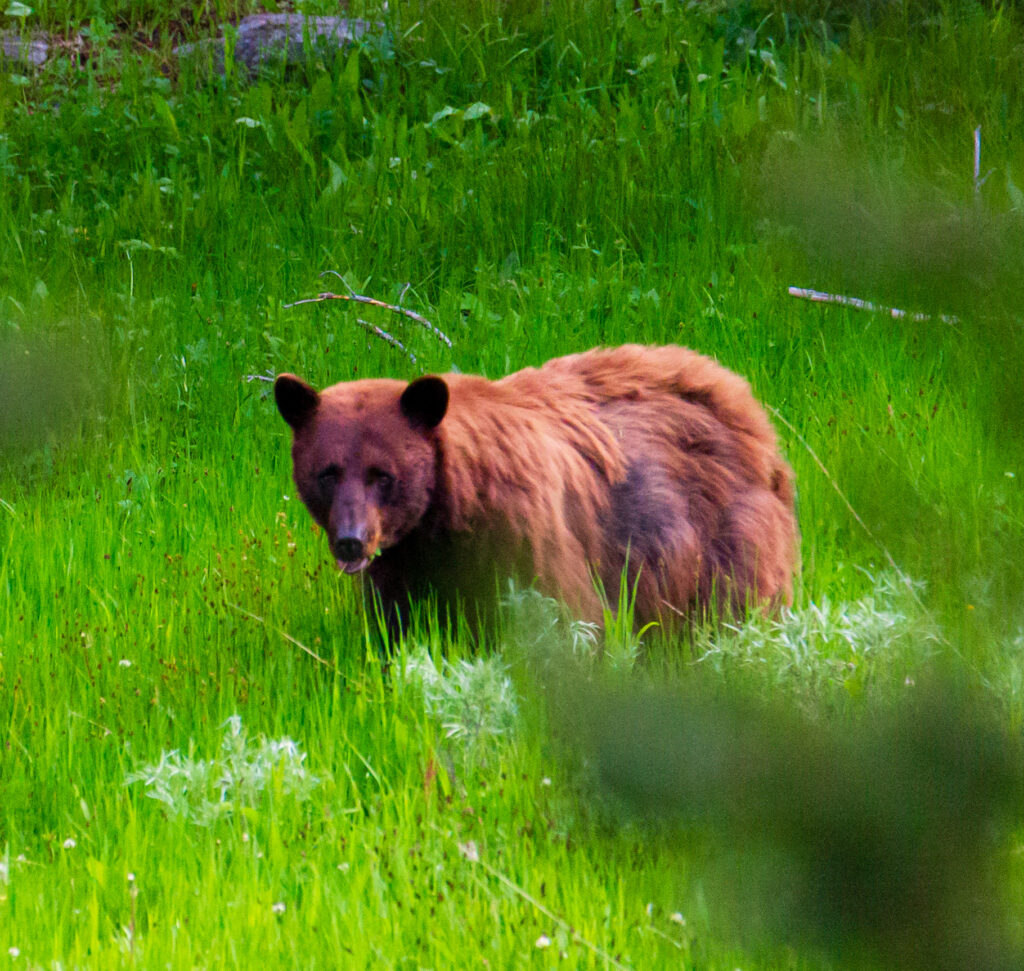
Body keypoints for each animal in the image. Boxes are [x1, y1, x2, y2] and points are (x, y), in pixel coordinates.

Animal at [275, 344, 798, 637]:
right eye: (327, 472)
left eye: (382, 475)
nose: (351, 540)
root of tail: (742, 396)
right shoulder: (406, 567)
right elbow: (396, 630)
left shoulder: (526, 536)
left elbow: (571, 618)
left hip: (722, 529)